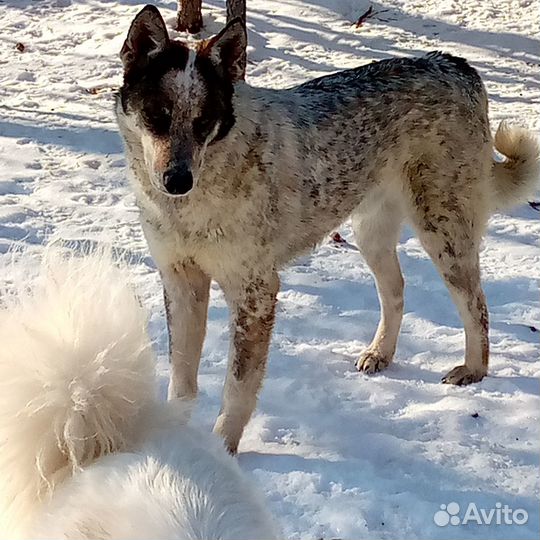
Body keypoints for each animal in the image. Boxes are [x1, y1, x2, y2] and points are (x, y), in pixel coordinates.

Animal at [115, 6, 540, 454]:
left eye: (203, 123)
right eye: (157, 117)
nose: (177, 181)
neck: (191, 204)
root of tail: (456, 65)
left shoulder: (255, 292)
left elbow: (238, 388)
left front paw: (221, 451)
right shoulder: (181, 280)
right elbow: (182, 378)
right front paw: (177, 446)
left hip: (443, 231)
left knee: (476, 305)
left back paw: (473, 369)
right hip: (371, 234)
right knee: (396, 289)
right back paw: (380, 353)